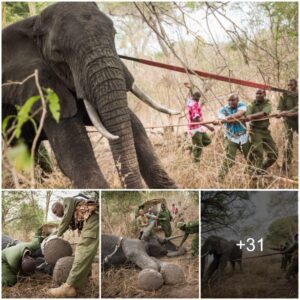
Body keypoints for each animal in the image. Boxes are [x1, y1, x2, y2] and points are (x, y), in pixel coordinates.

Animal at [2, 2, 178, 189]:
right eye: (58, 52)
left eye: (114, 34)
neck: (34, 24)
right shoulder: (41, 87)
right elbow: (74, 155)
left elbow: (135, 127)